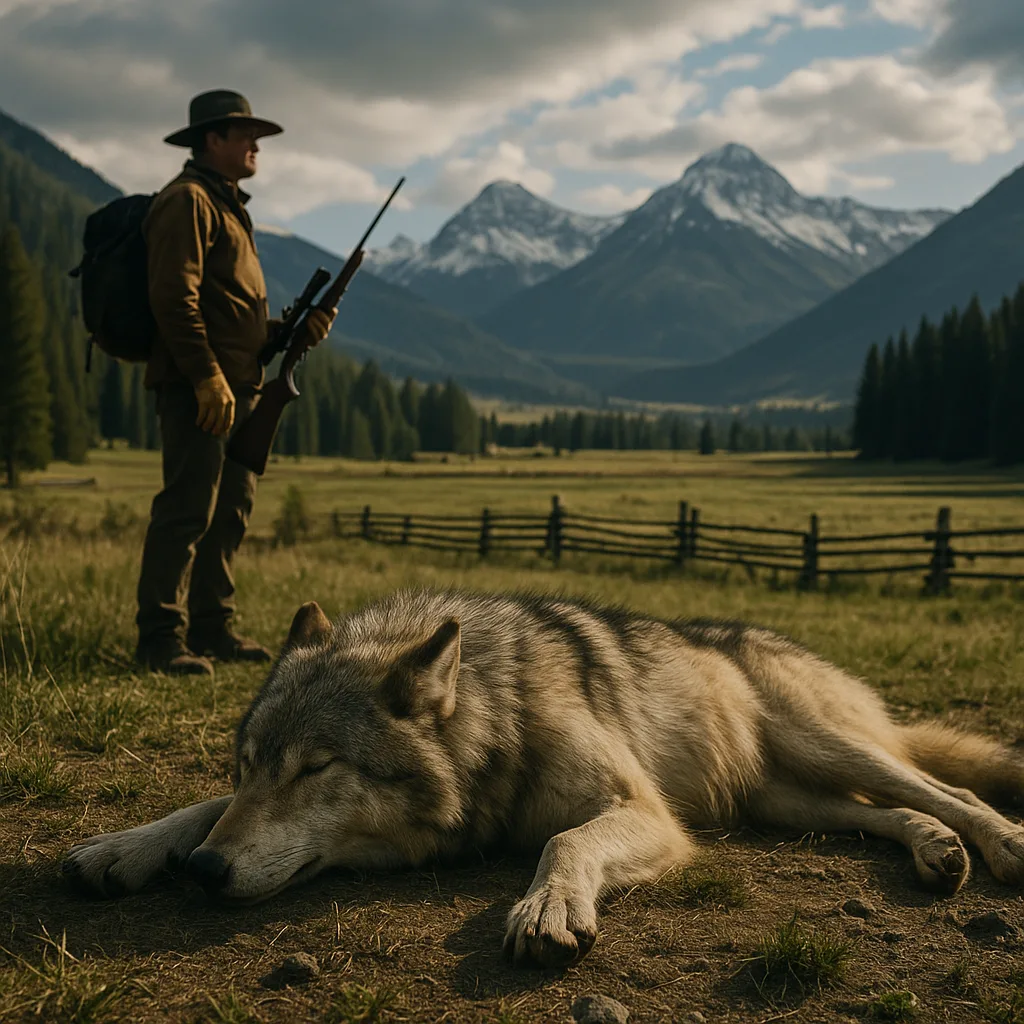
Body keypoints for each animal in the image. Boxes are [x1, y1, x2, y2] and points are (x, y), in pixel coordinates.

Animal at [63, 589, 1024, 967]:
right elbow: (199, 807)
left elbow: (564, 842)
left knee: (944, 788)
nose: (206, 873)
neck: (502, 717)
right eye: (251, 764)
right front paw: (126, 849)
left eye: (316, 768)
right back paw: (936, 852)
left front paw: (547, 909)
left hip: (825, 746)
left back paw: (997, 841)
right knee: (883, 811)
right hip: (784, 802)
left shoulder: (647, 814)